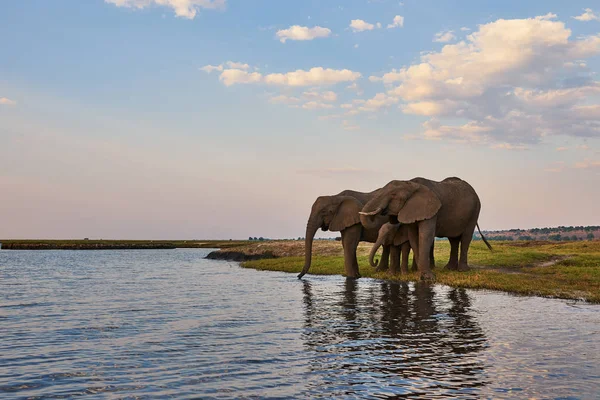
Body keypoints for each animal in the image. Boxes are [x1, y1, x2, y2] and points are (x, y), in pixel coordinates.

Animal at [356, 177, 492, 280]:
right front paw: (420, 274)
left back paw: (462, 270)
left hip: (475, 211)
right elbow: (413, 236)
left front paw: (428, 277)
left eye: (393, 195)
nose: (376, 260)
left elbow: (425, 235)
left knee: (466, 237)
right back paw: (449, 268)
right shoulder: (410, 210)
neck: (411, 184)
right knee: (453, 240)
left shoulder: (430, 210)